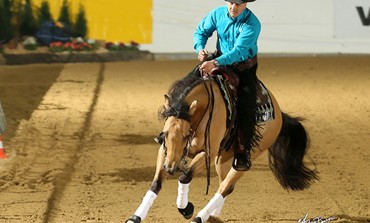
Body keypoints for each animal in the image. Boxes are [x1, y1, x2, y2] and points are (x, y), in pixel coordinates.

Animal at [124, 66, 318, 223]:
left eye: (186, 134)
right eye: (165, 133)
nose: (171, 168)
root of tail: (278, 112)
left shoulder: (207, 154)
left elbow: (185, 176)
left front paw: (186, 209)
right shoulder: (165, 152)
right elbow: (156, 183)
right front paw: (136, 217)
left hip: (243, 159)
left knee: (225, 187)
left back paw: (200, 217)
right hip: (222, 159)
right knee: (226, 185)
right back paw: (213, 214)